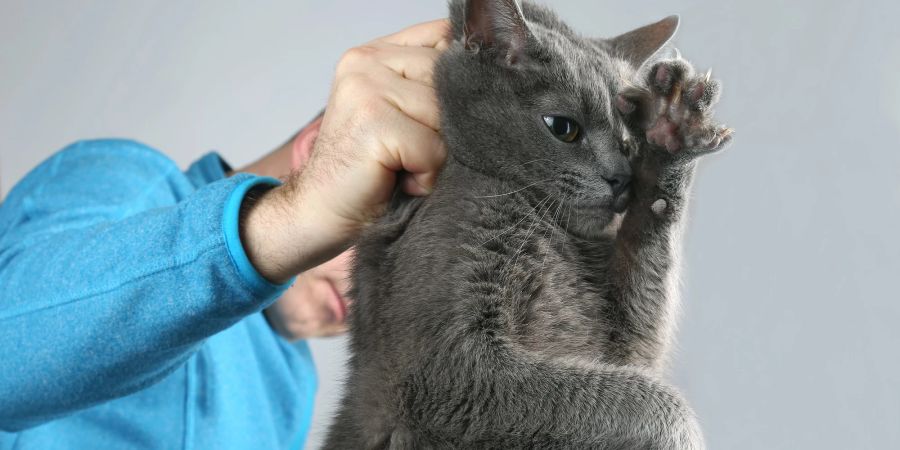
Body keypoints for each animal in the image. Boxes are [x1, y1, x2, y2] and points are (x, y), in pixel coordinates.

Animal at [324, 1, 732, 448]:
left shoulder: (624, 343)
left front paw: (669, 130)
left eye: (629, 144)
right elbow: (651, 400)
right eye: (563, 128)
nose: (621, 178)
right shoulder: (444, 368)